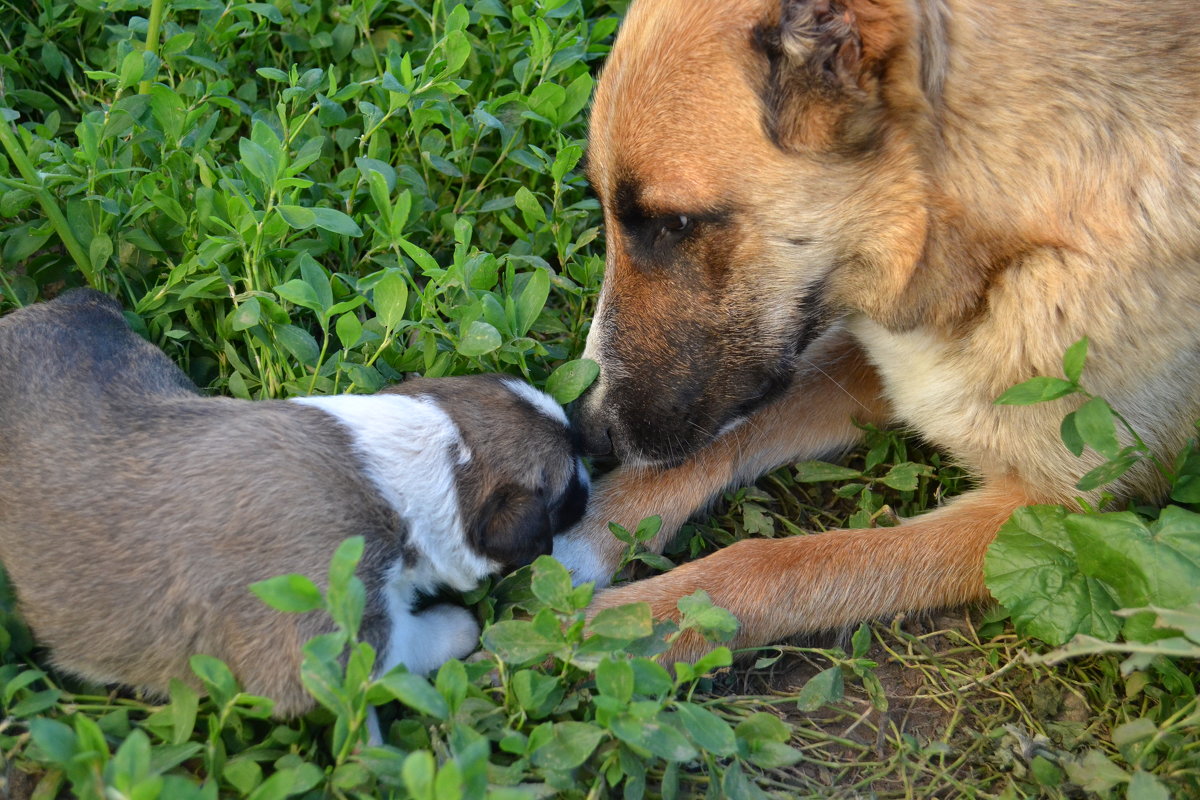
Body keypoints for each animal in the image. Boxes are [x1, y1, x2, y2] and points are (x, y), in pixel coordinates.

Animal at [0, 291, 585, 714]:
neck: (418, 463)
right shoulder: (322, 648)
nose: (593, 462)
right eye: (564, 492)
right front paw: (458, 624)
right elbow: (409, 643)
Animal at [549, 0, 1200, 662]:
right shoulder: (874, 363)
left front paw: (644, 619)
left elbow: (782, 564)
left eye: (673, 223)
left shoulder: (1056, 513)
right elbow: (731, 434)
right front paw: (589, 528)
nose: (589, 432)